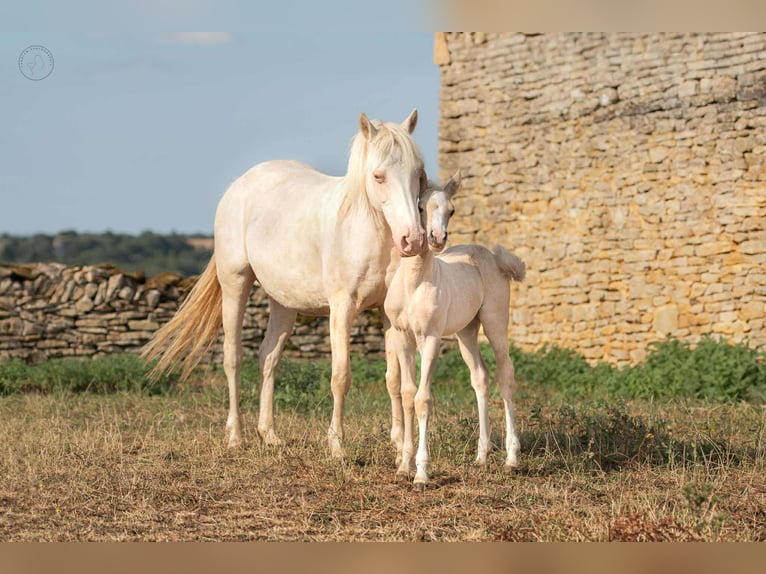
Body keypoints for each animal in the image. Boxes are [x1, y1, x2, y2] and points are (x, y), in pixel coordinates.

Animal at [142, 110, 427, 457]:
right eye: (378, 176)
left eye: (418, 174)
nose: (413, 239)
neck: (365, 230)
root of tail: (239, 184)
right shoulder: (342, 308)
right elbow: (340, 376)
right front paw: (336, 445)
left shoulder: (387, 314)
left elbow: (393, 377)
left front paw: (399, 444)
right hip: (235, 284)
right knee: (233, 358)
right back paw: (236, 437)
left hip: (283, 303)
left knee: (268, 358)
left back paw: (269, 434)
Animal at [383, 171, 526, 485]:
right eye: (420, 206)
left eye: (452, 210)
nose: (437, 239)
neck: (415, 283)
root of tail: (494, 257)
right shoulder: (402, 337)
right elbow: (408, 395)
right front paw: (403, 466)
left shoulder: (431, 338)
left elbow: (423, 399)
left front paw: (421, 473)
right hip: (466, 333)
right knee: (480, 378)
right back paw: (482, 456)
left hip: (494, 322)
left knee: (506, 377)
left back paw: (511, 459)